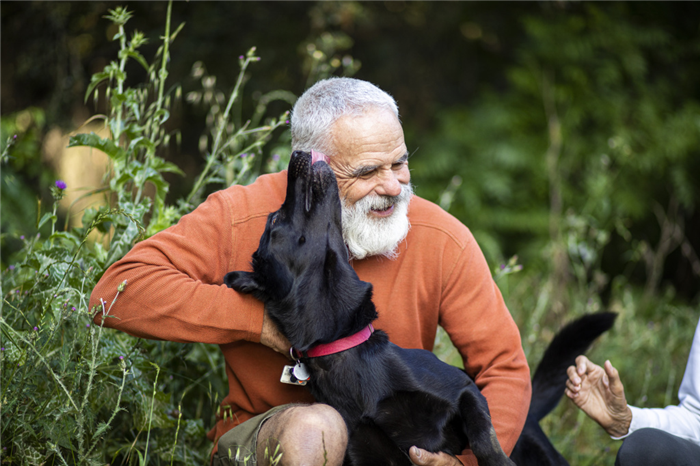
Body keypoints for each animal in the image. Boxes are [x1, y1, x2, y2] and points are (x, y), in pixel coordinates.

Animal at [226, 151, 612, 464]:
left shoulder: (465, 391)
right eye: (275, 220)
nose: (298, 154)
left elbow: (483, 439)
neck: (344, 349)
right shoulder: (371, 454)